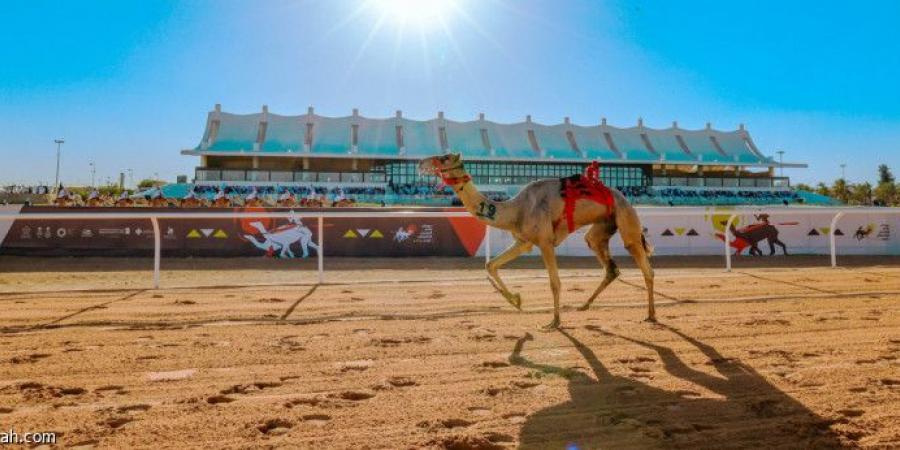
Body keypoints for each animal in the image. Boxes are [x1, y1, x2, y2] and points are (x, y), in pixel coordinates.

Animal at [418, 153, 656, 328]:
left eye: (444, 158)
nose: (421, 163)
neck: (515, 210)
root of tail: (624, 198)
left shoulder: (545, 241)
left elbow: (554, 282)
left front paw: (555, 321)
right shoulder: (523, 242)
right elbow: (490, 264)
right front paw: (517, 300)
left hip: (626, 219)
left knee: (644, 264)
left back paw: (651, 315)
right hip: (603, 227)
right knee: (607, 262)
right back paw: (584, 305)